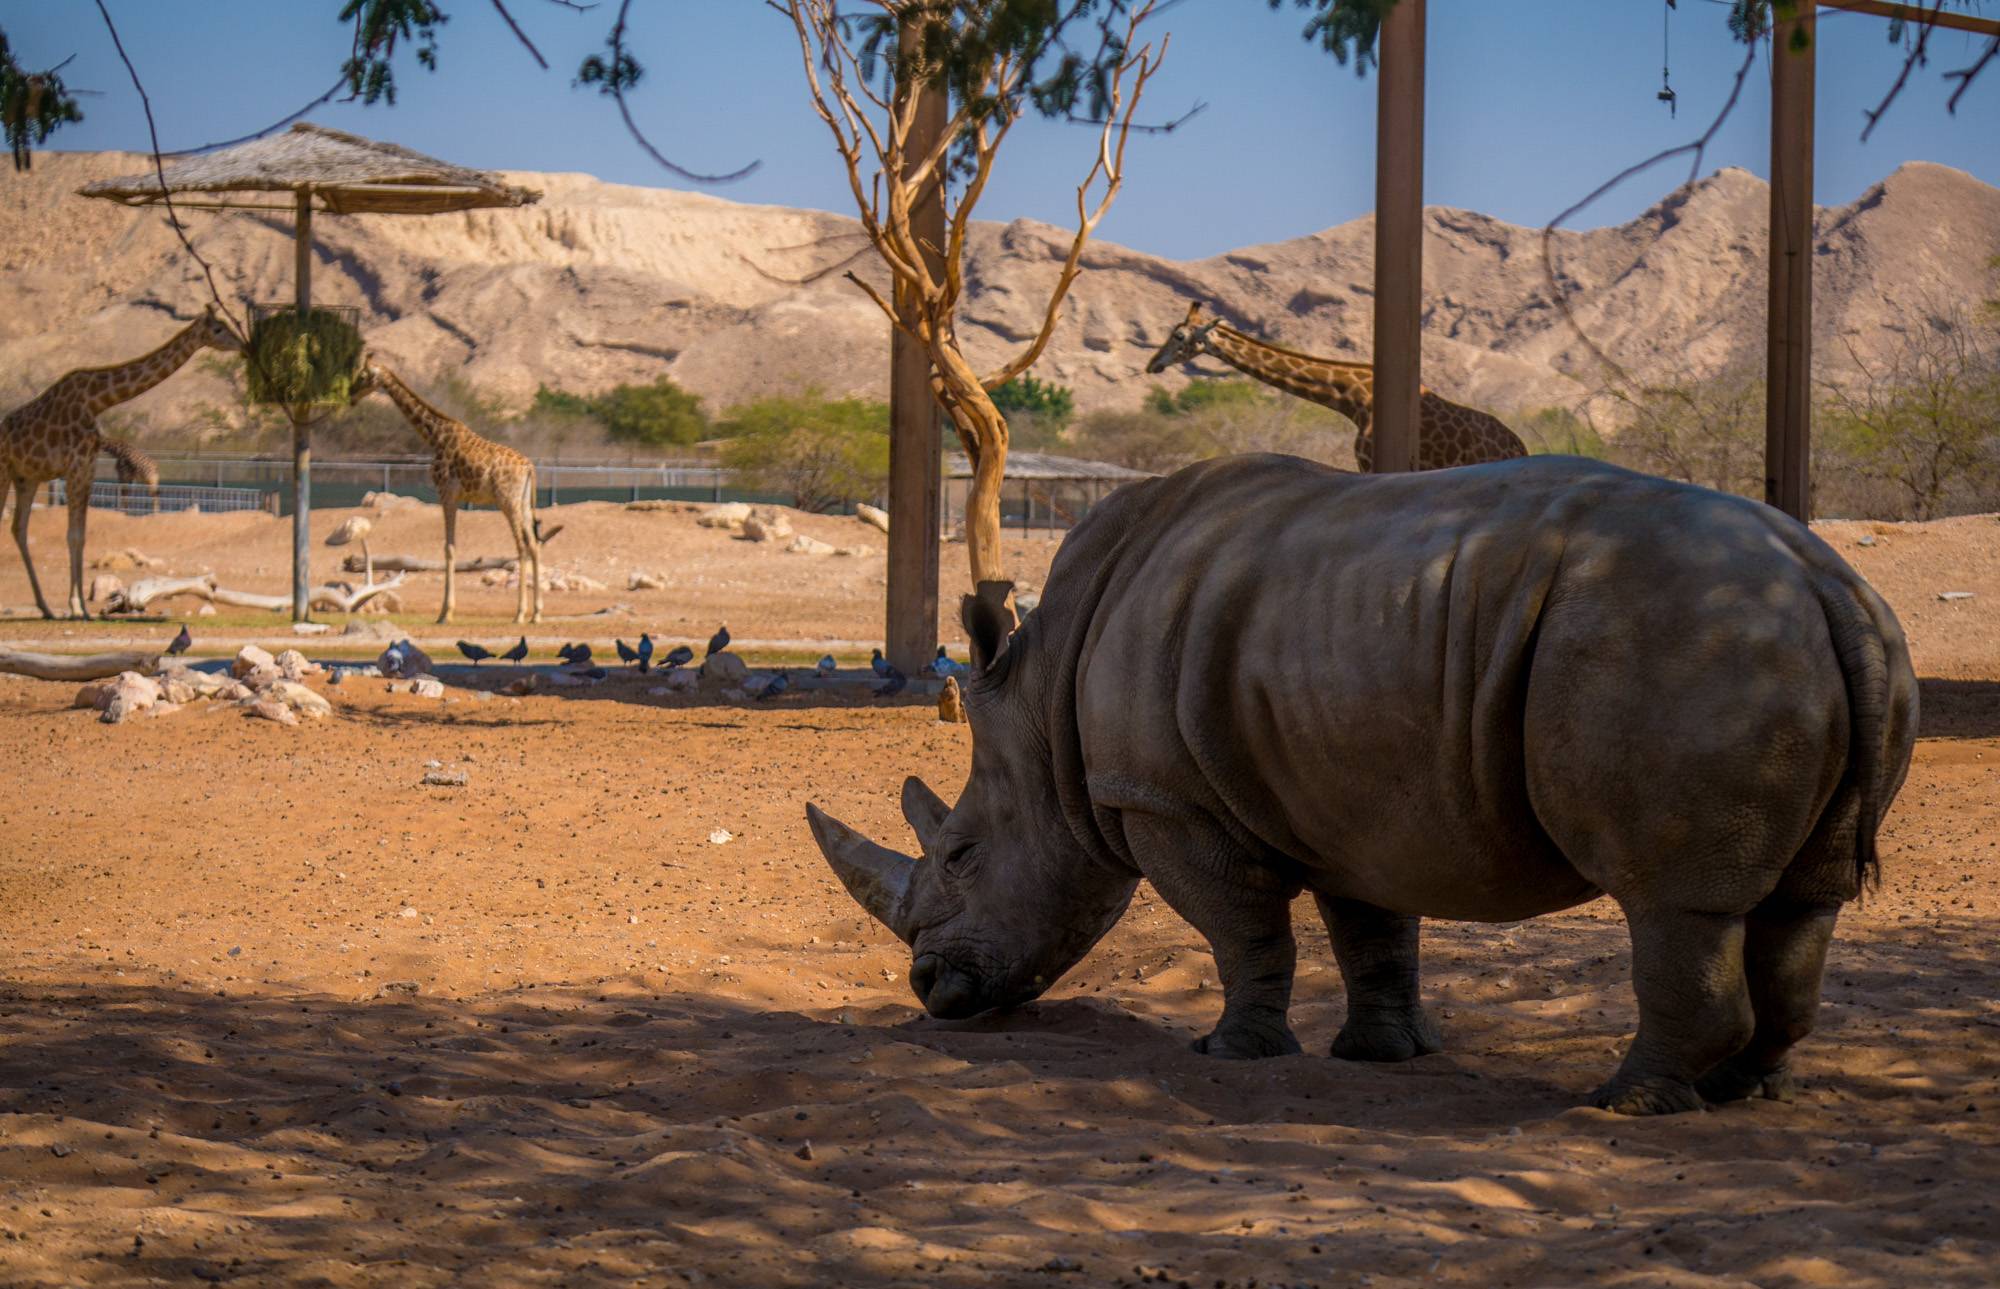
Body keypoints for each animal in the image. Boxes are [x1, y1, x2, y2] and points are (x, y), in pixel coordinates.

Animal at [0, 310, 240, 616]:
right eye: (218, 328)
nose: (242, 344)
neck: (97, 400)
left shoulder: (86, 467)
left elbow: (80, 535)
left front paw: (79, 607)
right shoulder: (76, 467)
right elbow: (73, 535)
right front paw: (78, 608)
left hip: (26, 478)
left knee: (18, 528)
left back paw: (45, 607)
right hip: (4, 469)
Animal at [350, 360, 552, 628]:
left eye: (363, 376)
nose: (351, 395)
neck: (435, 437)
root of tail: (529, 467)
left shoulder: (446, 493)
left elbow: (449, 549)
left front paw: (445, 614)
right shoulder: (455, 497)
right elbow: (452, 546)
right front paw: (446, 611)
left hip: (507, 500)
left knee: (521, 544)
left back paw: (519, 614)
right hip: (523, 503)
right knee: (534, 544)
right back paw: (537, 614)